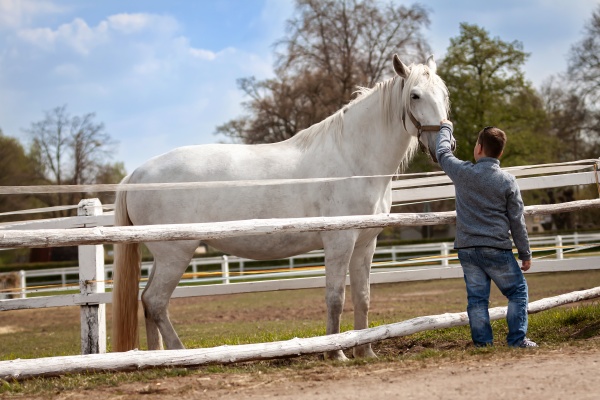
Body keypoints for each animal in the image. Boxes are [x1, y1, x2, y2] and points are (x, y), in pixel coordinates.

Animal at [111, 54, 450, 360]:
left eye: (444, 94)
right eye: (415, 95)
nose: (444, 146)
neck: (353, 160)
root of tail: (136, 175)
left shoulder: (365, 244)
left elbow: (363, 297)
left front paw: (365, 351)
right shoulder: (339, 242)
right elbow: (335, 298)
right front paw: (336, 353)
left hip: (163, 257)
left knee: (147, 301)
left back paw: (157, 357)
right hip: (175, 254)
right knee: (156, 301)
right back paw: (180, 355)